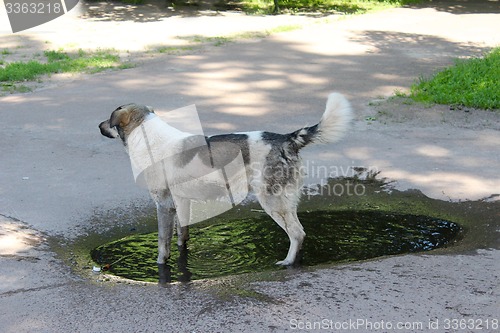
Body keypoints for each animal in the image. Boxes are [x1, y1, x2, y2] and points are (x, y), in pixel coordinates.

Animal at [98, 92, 352, 264]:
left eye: (109, 119)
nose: (98, 125)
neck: (149, 137)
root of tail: (286, 138)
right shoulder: (182, 202)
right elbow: (182, 236)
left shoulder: (164, 204)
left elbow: (163, 244)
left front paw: (161, 264)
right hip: (284, 202)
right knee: (299, 232)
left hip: (272, 201)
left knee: (297, 234)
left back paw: (288, 263)